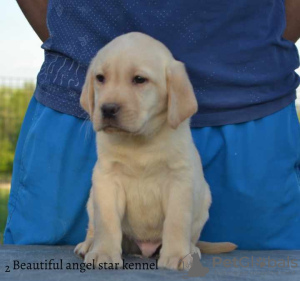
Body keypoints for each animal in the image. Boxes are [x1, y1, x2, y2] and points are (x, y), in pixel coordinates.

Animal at [75, 31, 237, 270]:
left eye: (139, 79)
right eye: (100, 78)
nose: (108, 109)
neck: (139, 141)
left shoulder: (179, 181)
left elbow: (176, 222)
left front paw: (177, 256)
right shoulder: (107, 180)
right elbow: (107, 221)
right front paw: (103, 253)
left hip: (204, 203)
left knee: (192, 236)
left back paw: (191, 249)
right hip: (91, 198)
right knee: (93, 227)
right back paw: (88, 245)